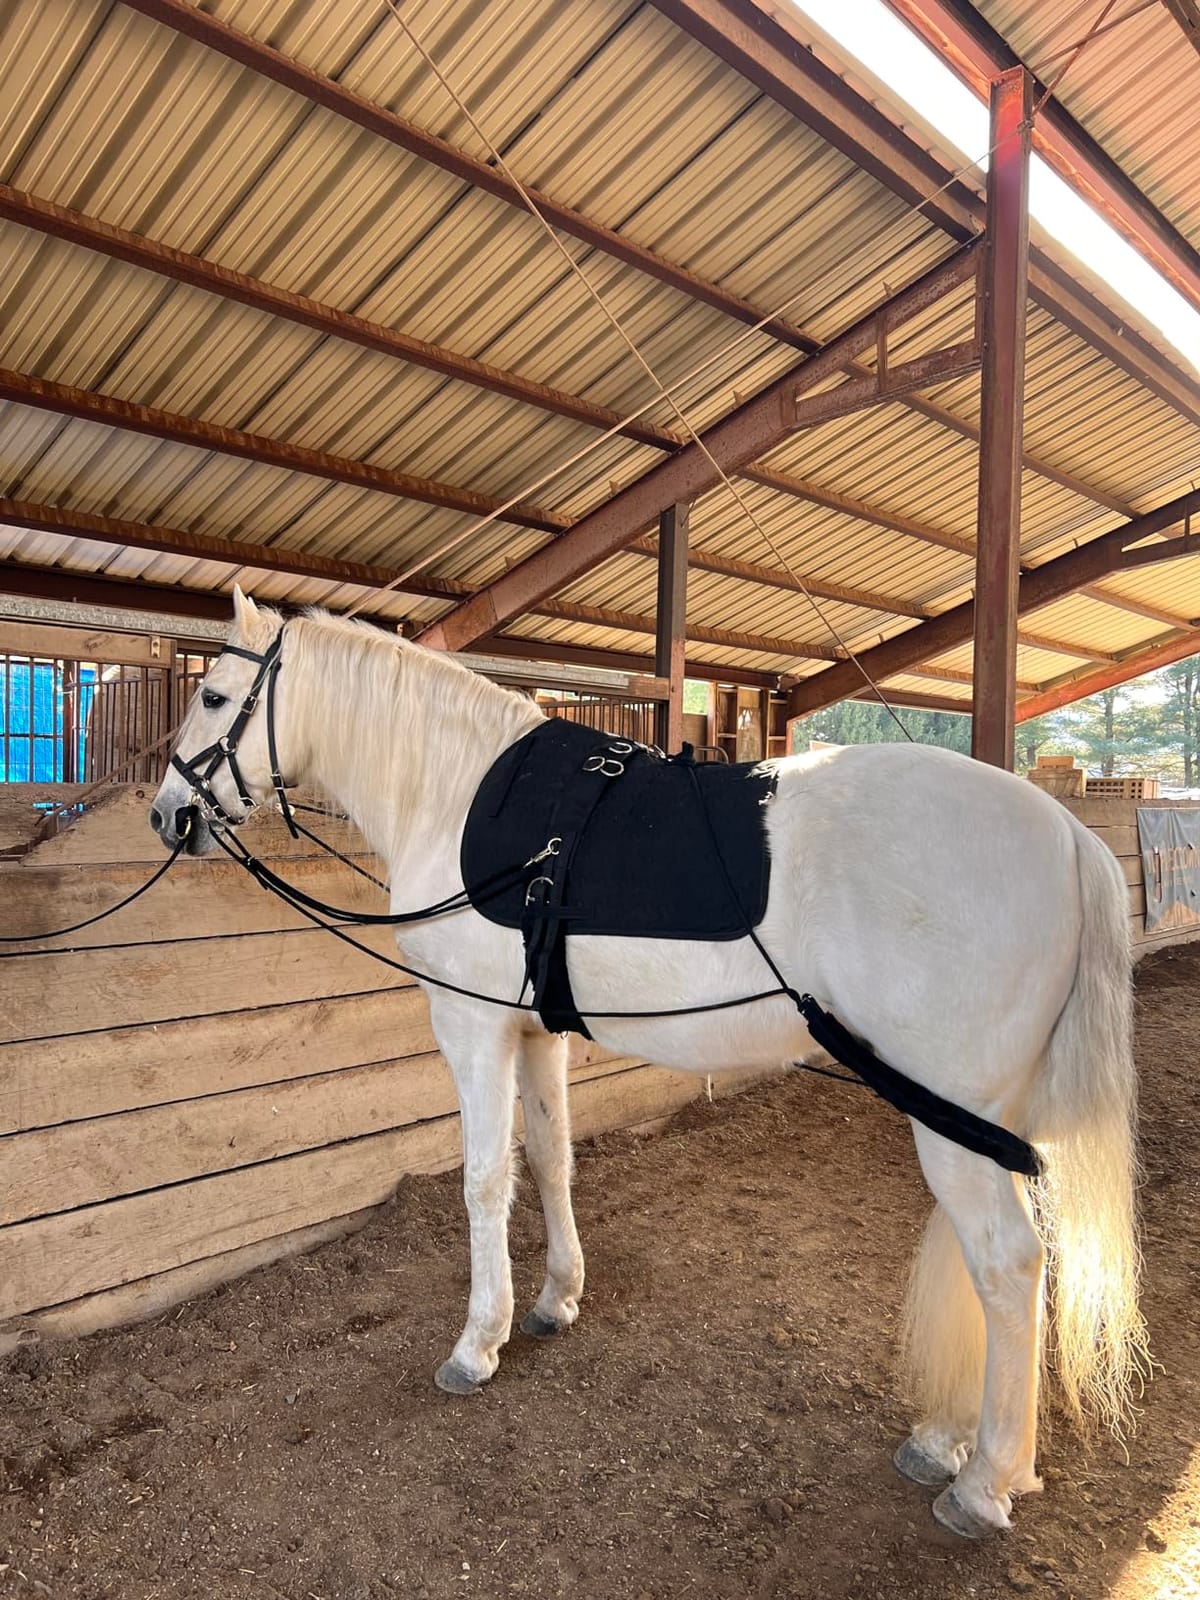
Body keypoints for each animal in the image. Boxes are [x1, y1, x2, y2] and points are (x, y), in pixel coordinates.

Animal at [149, 588, 1148, 1539]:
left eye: (213, 696)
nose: (168, 814)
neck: (459, 792)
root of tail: (1067, 833)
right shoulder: (536, 1032)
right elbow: (550, 1161)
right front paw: (555, 1300)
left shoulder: (472, 1026)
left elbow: (483, 1181)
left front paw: (478, 1343)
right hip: (969, 1118)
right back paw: (949, 1442)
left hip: (953, 1115)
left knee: (1009, 1265)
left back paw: (984, 1484)